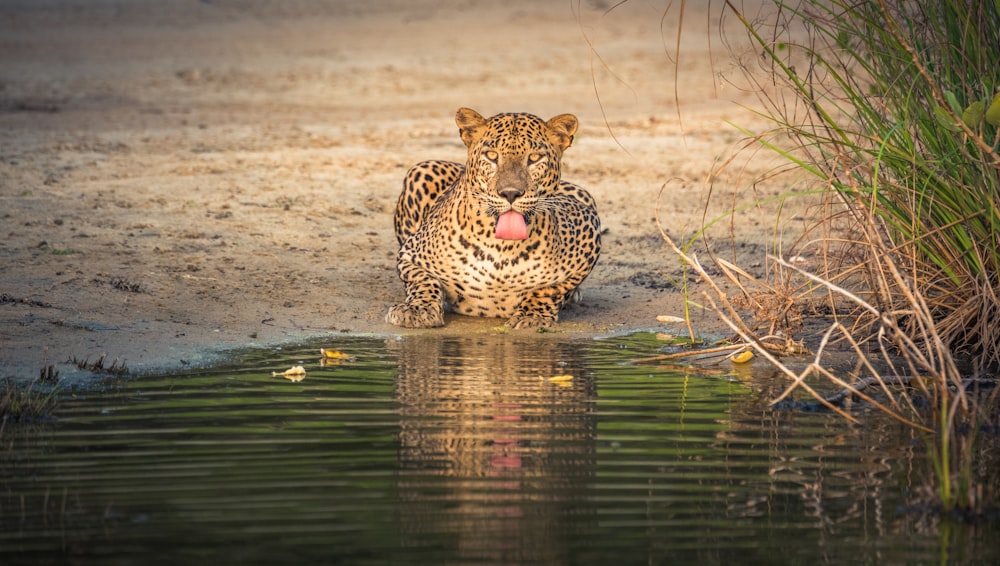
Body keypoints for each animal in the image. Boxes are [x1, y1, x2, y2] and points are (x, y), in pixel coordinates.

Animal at [384, 107, 600, 330]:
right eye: (492, 155)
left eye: (534, 158)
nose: (510, 193)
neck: (502, 248)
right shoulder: (410, 254)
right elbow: (423, 280)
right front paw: (417, 310)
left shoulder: (588, 230)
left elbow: (551, 289)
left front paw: (532, 315)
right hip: (422, 169)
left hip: (583, 194)